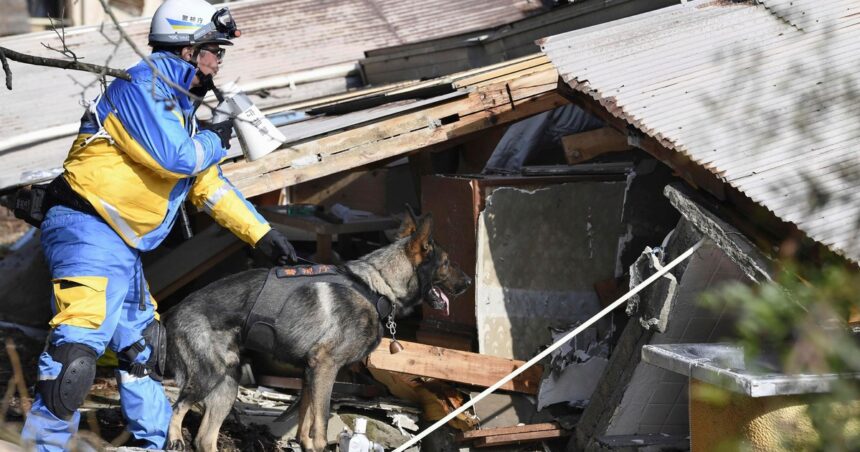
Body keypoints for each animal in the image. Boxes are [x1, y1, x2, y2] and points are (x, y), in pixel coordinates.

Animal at [165, 214, 474, 450]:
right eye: (447, 263)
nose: (470, 282)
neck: (376, 287)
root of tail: (177, 309)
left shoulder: (309, 372)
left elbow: (305, 419)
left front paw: (306, 444)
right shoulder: (326, 366)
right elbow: (321, 421)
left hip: (227, 384)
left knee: (205, 438)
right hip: (210, 375)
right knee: (178, 407)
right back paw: (175, 438)